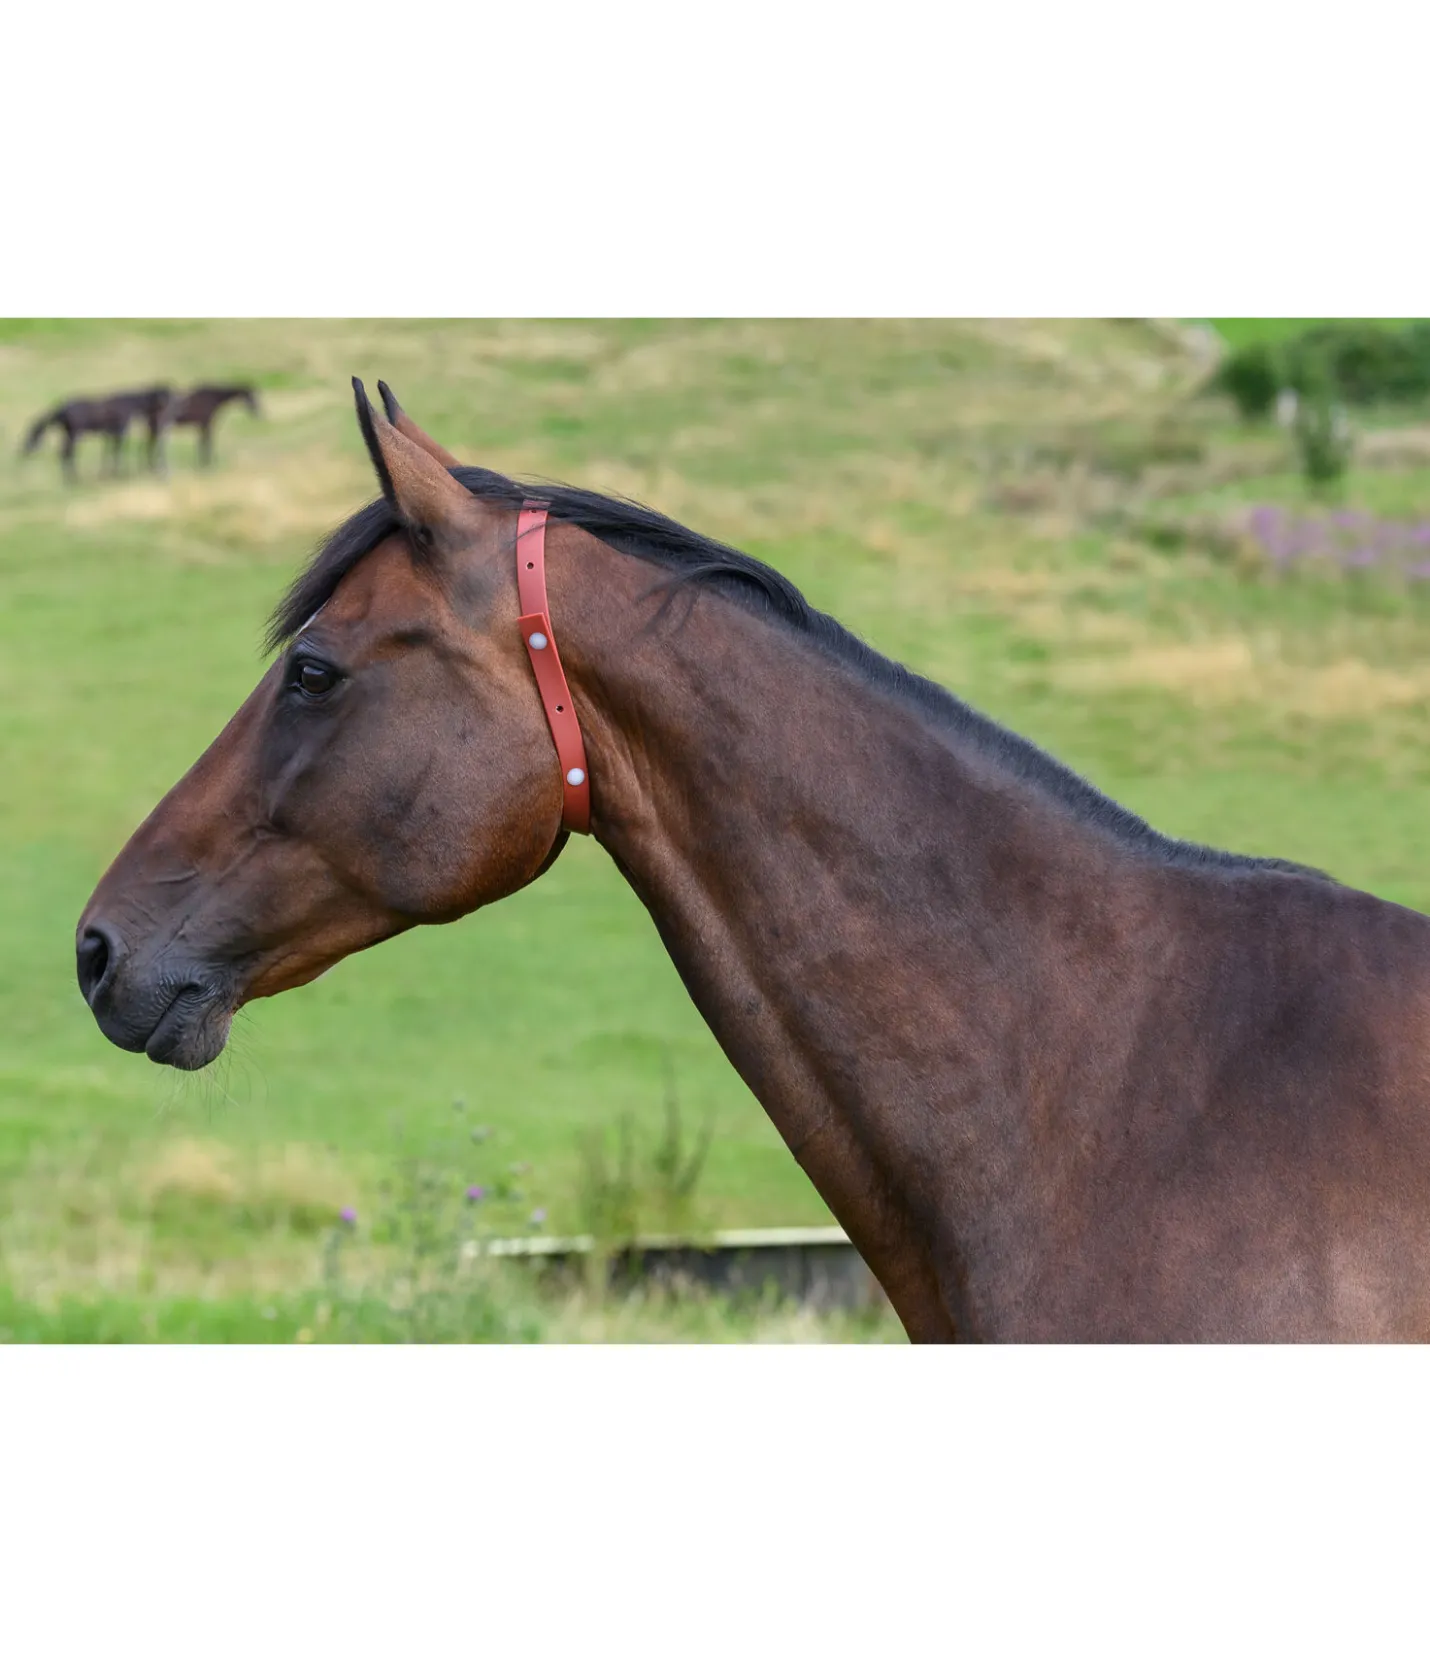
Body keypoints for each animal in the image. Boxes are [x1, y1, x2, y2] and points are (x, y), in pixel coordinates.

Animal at [21, 386, 172, 481]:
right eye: (163, 396)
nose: (164, 415)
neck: (129, 404)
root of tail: (61, 407)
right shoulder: (119, 432)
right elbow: (116, 453)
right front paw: (117, 474)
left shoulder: (110, 434)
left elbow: (108, 453)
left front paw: (107, 474)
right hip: (74, 435)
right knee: (67, 453)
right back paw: (73, 479)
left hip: (69, 435)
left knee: (63, 453)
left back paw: (70, 479)